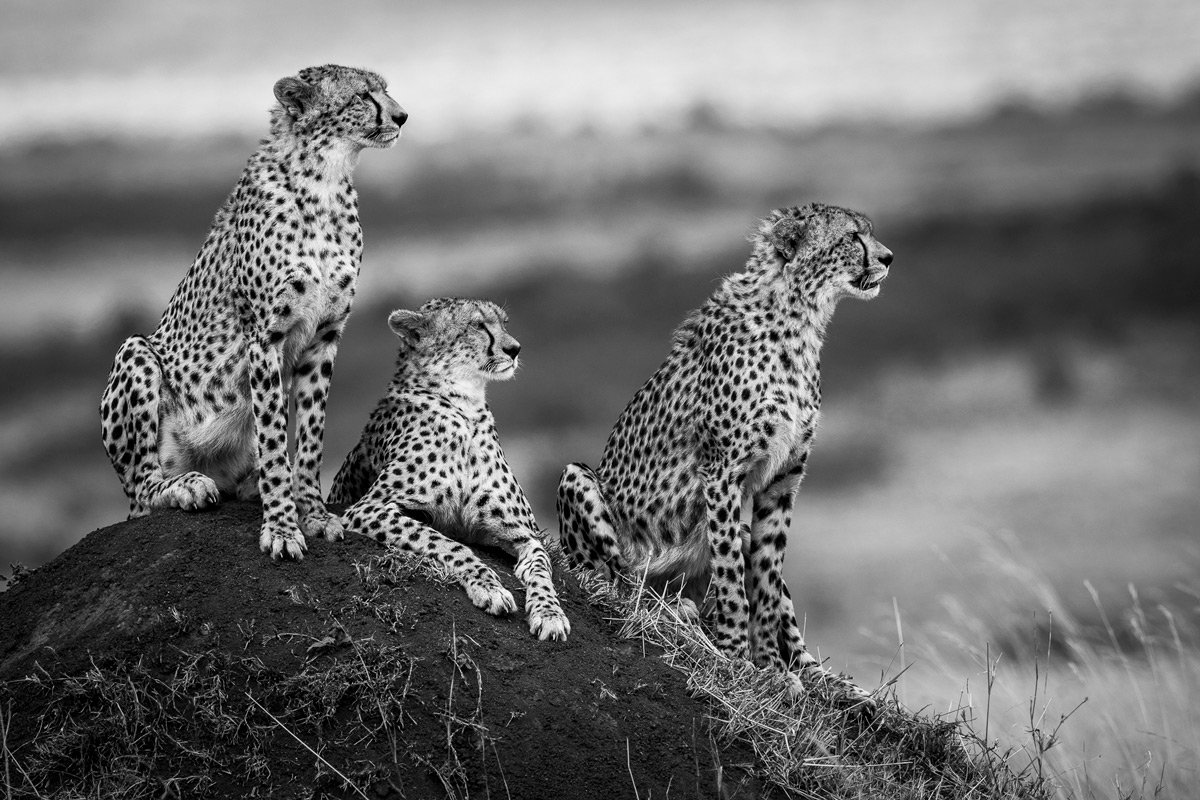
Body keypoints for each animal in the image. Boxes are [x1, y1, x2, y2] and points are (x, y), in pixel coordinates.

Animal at [99, 65, 408, 561]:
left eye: (385, 88)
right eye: (363, 95)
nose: (401, 116)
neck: (325, 180)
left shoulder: (324, 337)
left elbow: (309, 438)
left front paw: (312, 512)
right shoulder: (265, 337)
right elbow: (274, 438)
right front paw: (282, 526)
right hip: (137, 354)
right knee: (145, 483)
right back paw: (185, 486)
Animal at [328, 297, 571, 642]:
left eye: (504, 323)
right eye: (478, 326)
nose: (515, 349)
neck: (465, 406)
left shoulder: (525, 534)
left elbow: (541, 569)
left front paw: (549, 613)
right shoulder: (369, 508)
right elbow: (445, 542)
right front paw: (489, 587)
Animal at [554, 203, 892, 695]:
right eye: (852, 237)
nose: (888, 257)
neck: (800, 320)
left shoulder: (783, 481)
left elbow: (768, 576)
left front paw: (771, 666)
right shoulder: (722, 473)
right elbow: (732, 572)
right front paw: (737, 657)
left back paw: (838, 686)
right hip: (579, 484)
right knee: (619, 582)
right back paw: (674, 615)